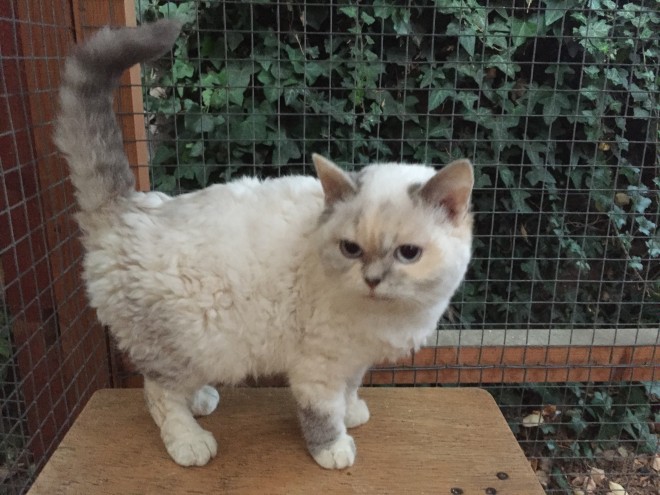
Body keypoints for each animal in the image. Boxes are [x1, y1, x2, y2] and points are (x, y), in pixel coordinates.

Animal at [54, 18, 472, 468]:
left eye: (408, 254)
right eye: (351, 249)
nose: (373, 280)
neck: (385, 316)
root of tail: (129, 207)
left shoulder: (352, 359)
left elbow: (349, 389)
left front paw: (352, 412)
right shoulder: (318, 365)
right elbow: (323, 412)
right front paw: (333, 447)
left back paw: (200, 400)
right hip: (183, 343)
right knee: (159, 395)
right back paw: (189, 440)